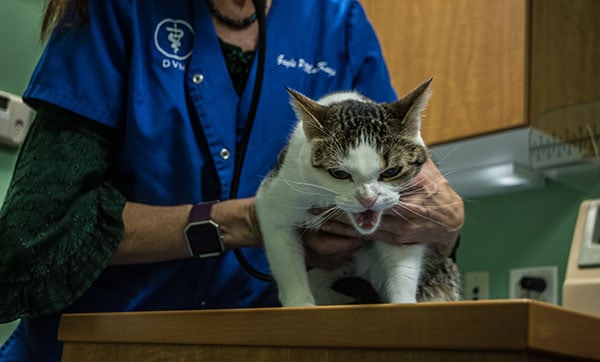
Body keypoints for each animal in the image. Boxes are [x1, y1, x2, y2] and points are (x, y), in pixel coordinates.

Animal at [255, 78, 462, 306]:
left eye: (392, 171)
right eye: (339, 173)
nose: (368, 199)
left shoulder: (407, 227)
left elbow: (402, 266)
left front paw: (403, 301)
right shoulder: (276, 197)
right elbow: (288, 265)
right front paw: (300, 304)